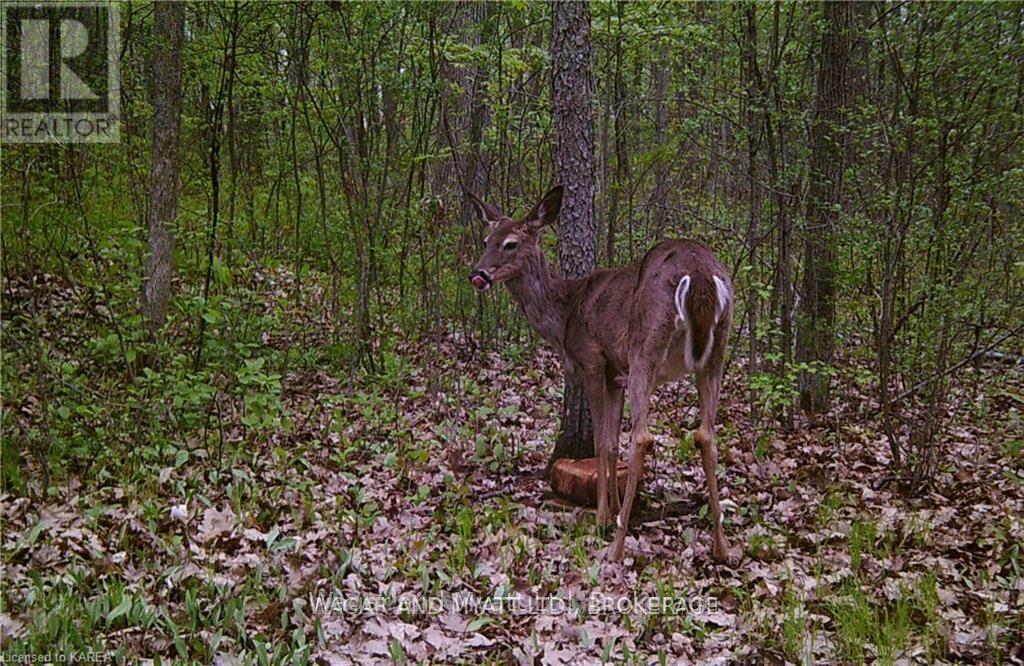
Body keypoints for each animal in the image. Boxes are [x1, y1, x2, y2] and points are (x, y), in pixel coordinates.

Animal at [468, 182, 733, 561]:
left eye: (511, 244)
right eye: (486, 239)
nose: (478, 274)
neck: (565, 314)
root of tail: (698, 275)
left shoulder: (593, 362)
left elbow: (598, 441)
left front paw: (604, 518)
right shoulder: (615, 375)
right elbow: (610, 445)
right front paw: (617, 507)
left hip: (645, 349)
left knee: (643, 436)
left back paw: (617, 548)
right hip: (715, 352)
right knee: (707, 435)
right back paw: (721, 547)